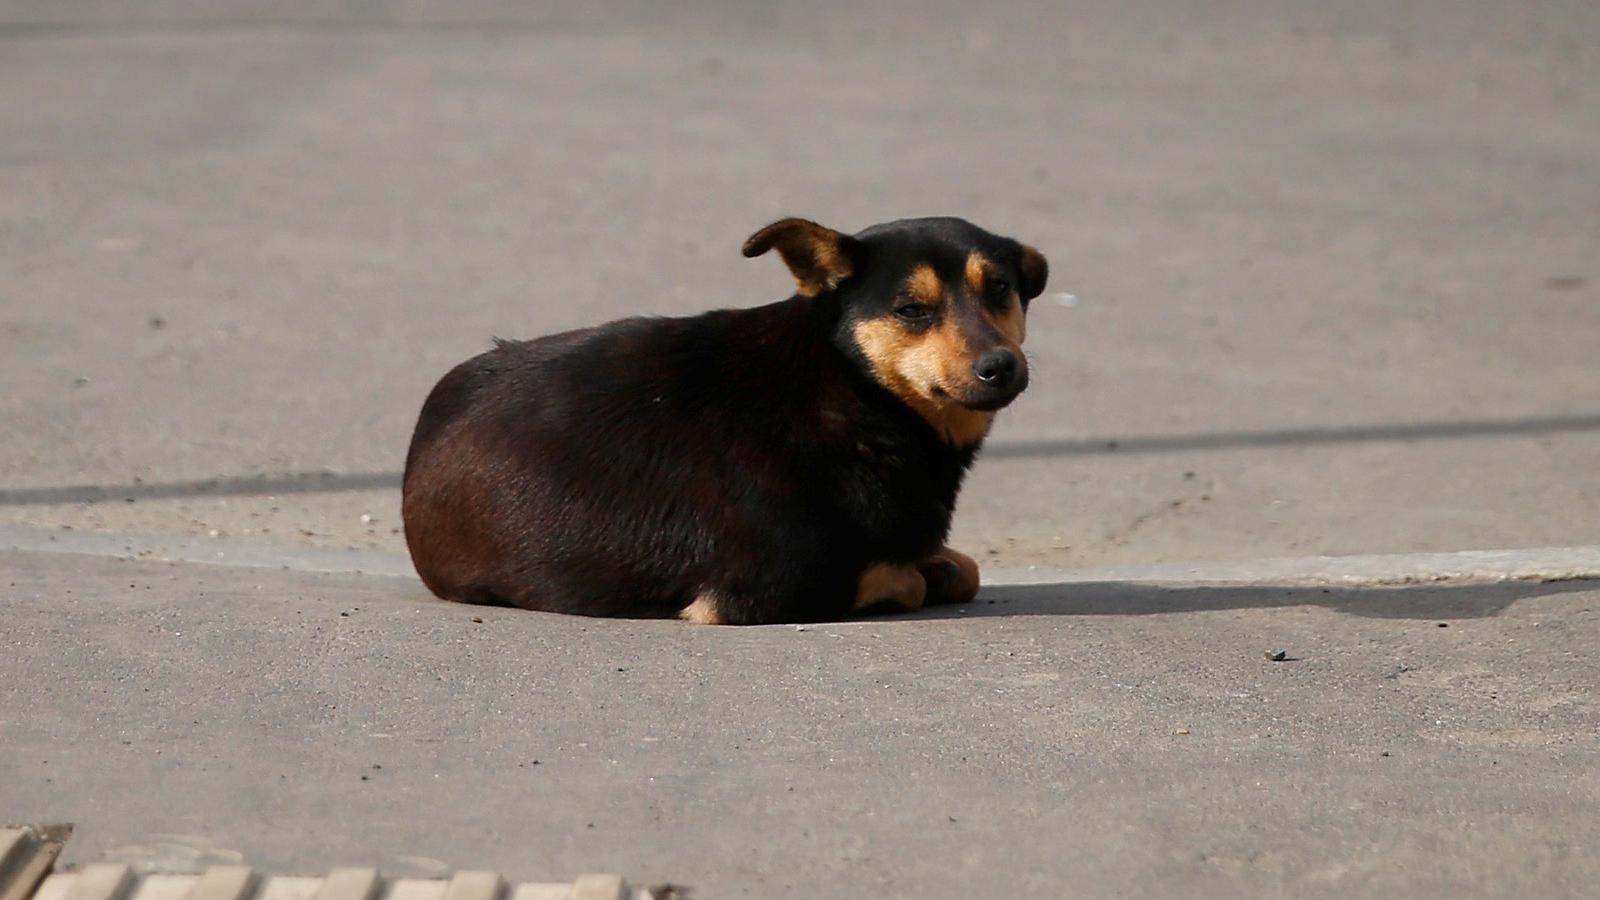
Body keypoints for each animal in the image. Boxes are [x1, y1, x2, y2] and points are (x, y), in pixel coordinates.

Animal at [406, 217, 1043, 624]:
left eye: (1000, 289)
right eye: (912, 310)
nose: (1000, 366)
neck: (852, 387)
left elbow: (963, 567)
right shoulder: (762, 591)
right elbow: (908, 579)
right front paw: (923, 574)